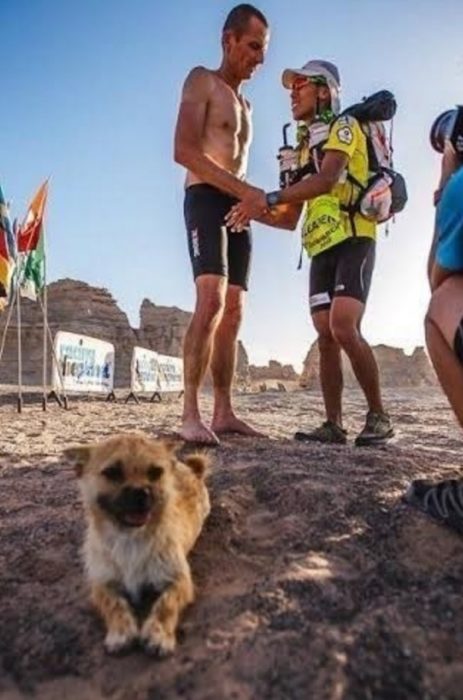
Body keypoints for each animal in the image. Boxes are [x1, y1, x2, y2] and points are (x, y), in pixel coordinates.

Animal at [65, 432, 210, 656]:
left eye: (156, 472)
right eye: (112, 472)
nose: (141, 492)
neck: (131, 539)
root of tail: (191, 469)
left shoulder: (179, 581)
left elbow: (165, 605)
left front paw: (158, 634)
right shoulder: (102, 585)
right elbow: (114, 605)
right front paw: (121, 631)